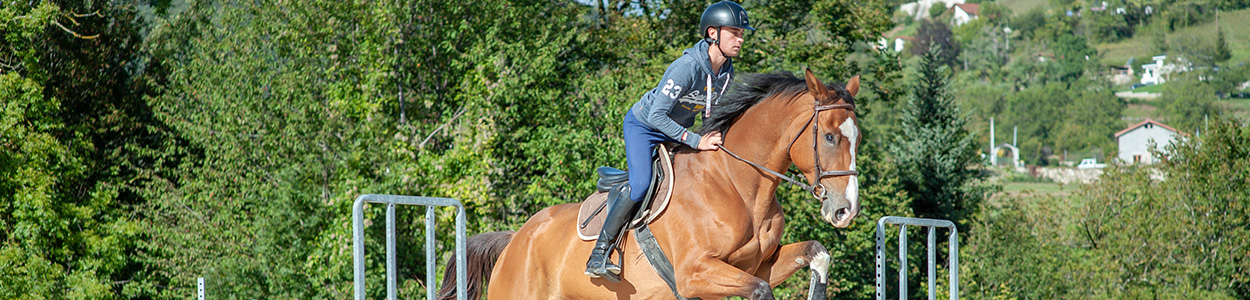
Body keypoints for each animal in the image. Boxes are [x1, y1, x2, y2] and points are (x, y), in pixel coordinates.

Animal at [445, 69, 865, 300]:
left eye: (857, 136)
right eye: (829, 137)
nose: (845, 211)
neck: (739, 186)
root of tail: (516, 240)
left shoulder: (758, 266)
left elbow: (816, 252)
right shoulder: (696, 274)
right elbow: (762, 291)